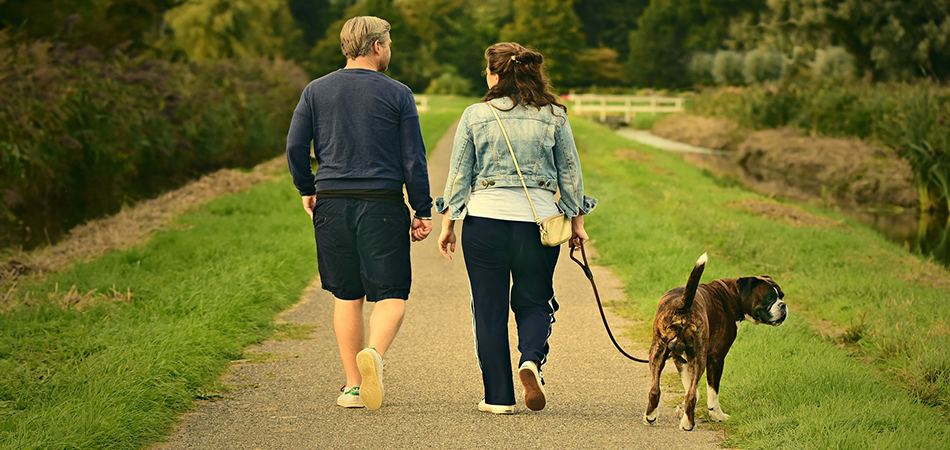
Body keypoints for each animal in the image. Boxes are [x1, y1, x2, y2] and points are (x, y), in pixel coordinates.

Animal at [648, 255, 788, 430]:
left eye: (782, 295)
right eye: (769, 298)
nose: (783, 305)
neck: (732, 295)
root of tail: (683, 306)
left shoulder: (678, 357)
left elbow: (691, 387)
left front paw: (682, 409)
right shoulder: (716, 358)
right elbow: (711, 393)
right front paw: (717, 415)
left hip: (658, 352)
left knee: (655, 389)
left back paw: (651, 417)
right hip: (699, 357)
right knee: (691, 395)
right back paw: (688, 424)